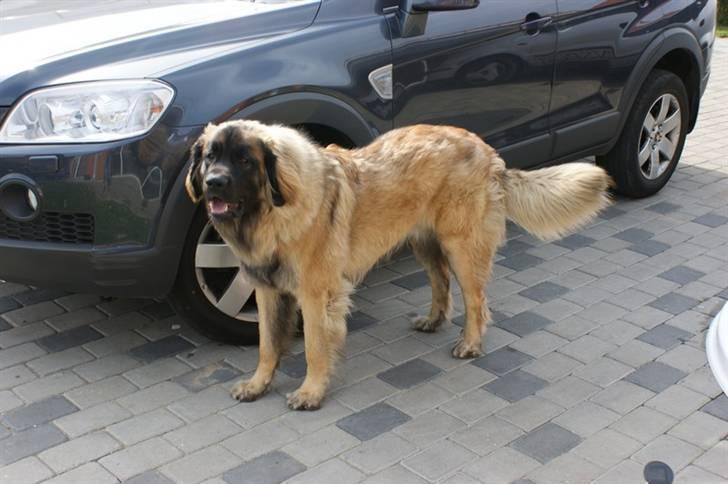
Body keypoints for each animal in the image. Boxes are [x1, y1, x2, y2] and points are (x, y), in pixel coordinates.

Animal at [185, 119, 612, 410]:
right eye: (210, 158)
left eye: (244, 160)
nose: (214, 183)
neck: (272, 211)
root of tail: (488, 151)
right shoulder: (267, 290)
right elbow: (267, 344)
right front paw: (258, 384)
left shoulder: (316, 293)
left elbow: (314, 348)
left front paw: (310, 391)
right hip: (425, 243)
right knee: (441, 283)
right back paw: (434, 321)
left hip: (461, 245)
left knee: (476, 300)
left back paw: (470, 343)